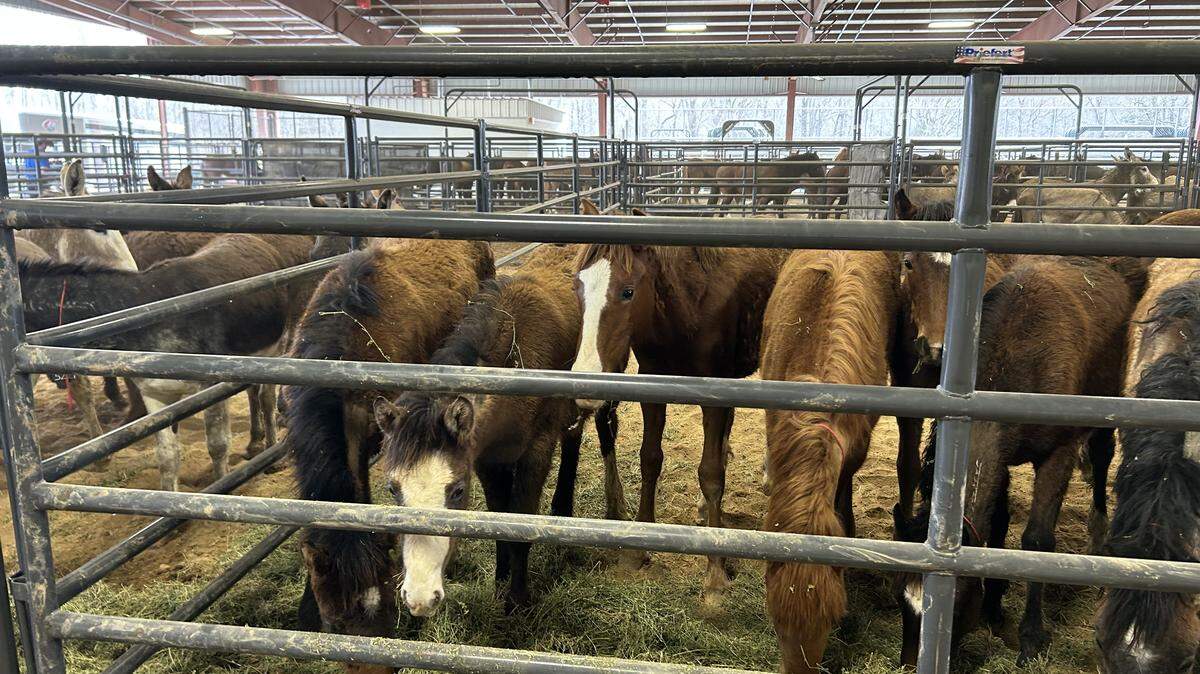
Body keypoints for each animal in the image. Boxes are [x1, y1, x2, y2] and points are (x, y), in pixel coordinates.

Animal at [376, 244, 617, 617]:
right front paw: (500, 585)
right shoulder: (487, 461)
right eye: (392, 489)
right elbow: (499, 523)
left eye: (457, 491)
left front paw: (518, 601)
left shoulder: (535, 454)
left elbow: (520, 526)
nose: (420, 599)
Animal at [570, 199, 787, 605]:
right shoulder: (653, 389)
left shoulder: (714, 397)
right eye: (578, 285)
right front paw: (639, 549)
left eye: (627, 291)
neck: (687, 305)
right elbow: (650, 459)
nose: (587, 381)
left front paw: (715, 573)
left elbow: (711, 473)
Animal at [894, 255, 1143, 667]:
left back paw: (1099, 534)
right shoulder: (1000, 458)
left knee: (1103, 458)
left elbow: (1037, 540)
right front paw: (994, 608)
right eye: (900, 602)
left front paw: (1030, 635)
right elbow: (997, 527)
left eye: (954, 609)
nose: (909, 665)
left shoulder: (1058, 455)